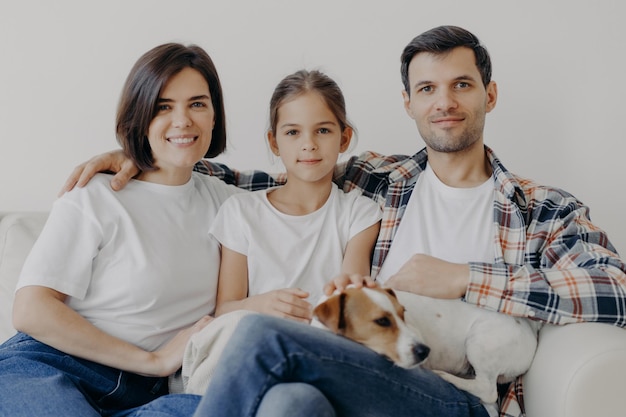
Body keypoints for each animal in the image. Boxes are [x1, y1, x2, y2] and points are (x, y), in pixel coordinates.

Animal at [312, 286, 536, 404]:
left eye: (403, 313)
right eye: (382, 321)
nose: (425, 351)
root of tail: (531, 331)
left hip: (479, 343)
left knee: (487, 390)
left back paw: (447, 377)